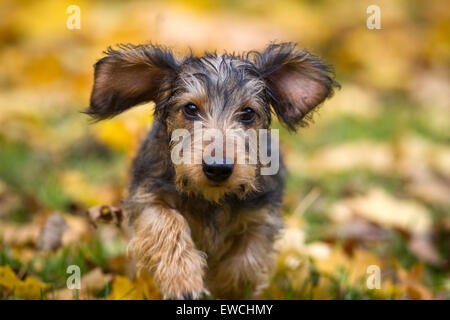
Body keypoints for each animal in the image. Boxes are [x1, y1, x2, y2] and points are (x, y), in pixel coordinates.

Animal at [87, 41, 338, 298]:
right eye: (190, 108)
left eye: (248, 113)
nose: (218, 168)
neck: (211, 198)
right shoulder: (148, 197)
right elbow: (167, 225)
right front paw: (183, 282)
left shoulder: (261, 216)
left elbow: (246, 261)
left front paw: (228, 288)